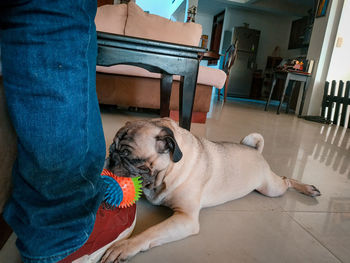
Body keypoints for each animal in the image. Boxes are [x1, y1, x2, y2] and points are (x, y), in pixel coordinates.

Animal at [100, 118, 320, 262]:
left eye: (130, 156)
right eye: (111, 148)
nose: (111, 158)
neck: (167, 172)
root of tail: (255, 150)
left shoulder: (186, 219)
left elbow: (150, 232)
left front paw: (125, 246)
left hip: (271, 188)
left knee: (286, 180)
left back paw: (308, 188)